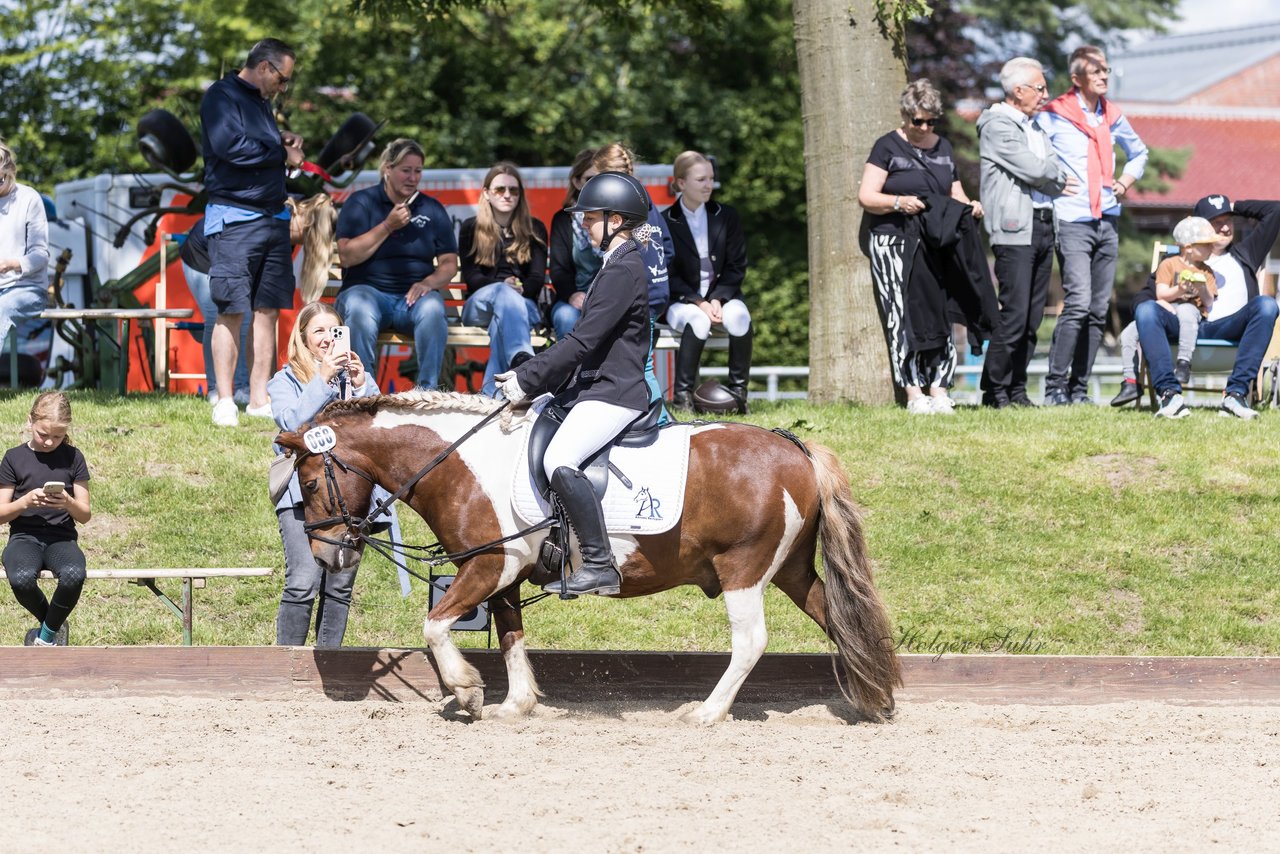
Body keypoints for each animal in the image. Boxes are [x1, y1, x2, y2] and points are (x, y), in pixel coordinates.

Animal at [280, 391, 901, 722]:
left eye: (308, 484)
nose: (328, 557)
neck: (462, 464)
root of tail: (796, 448)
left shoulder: (489, 565)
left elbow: (433, 625)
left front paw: (466, 689)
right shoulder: (503, 574)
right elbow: (510, 636)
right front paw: (516, 704)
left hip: (743, 570)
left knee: (751, 642)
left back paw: (707, 713)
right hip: (790, 570)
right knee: (838, 618)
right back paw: (875, 698)